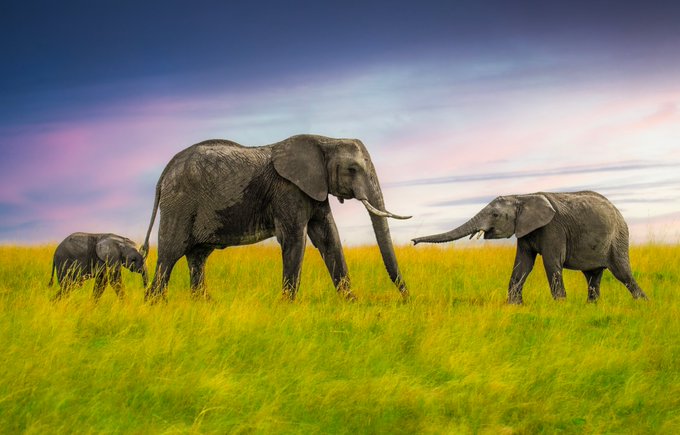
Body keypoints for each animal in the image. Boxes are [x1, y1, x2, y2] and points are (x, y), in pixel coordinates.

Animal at [141, 134, 411, 302]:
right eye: (352, 170)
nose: (407, 298)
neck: (325, 140)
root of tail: (164, 174)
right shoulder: (288, 190)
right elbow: (295, 240)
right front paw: (287, 306)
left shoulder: (314, 188)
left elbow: (329, 239)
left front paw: (351, 303)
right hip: (180, 204)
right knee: (170, 254)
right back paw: (156, 304)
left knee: (197, 257)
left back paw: (204, 304)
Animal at [412, 191, 647, 304]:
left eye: (495, 215)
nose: (413, 242)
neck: (522, 197)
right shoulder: (525, 230)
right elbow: (522, 264)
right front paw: (514, 305)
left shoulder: (552, 228)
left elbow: (551, 263)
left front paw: (560, 305)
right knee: (592, 277)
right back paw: (592, 307)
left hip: (618, 237)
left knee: (623, 273)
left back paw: (644, 304)